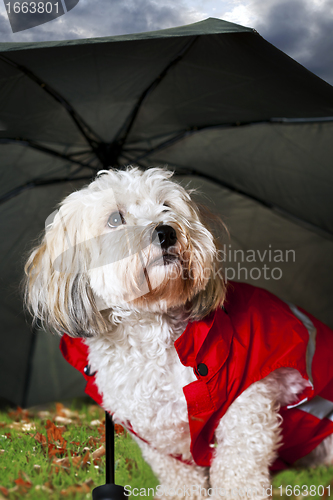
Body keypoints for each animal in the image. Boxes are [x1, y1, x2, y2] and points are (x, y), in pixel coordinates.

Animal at [24, 167, 332, 496]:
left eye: (166, 206)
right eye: (115, 219)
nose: (166, 231)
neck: (151, 333)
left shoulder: (247, 402)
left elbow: (237, 467)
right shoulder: (158, 433)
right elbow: (178, 474)